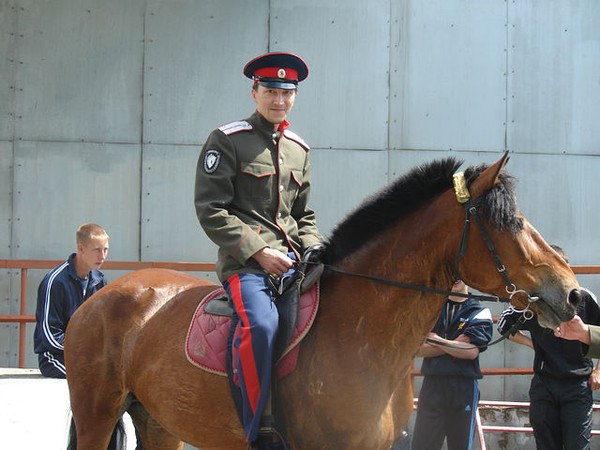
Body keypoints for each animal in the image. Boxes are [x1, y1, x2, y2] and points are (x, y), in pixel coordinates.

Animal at [64, 153, 580, 448]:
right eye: (509, 223)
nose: (572, 292)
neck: (361, 334)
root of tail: (100, 296)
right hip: (96, 416)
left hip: (159, 423)